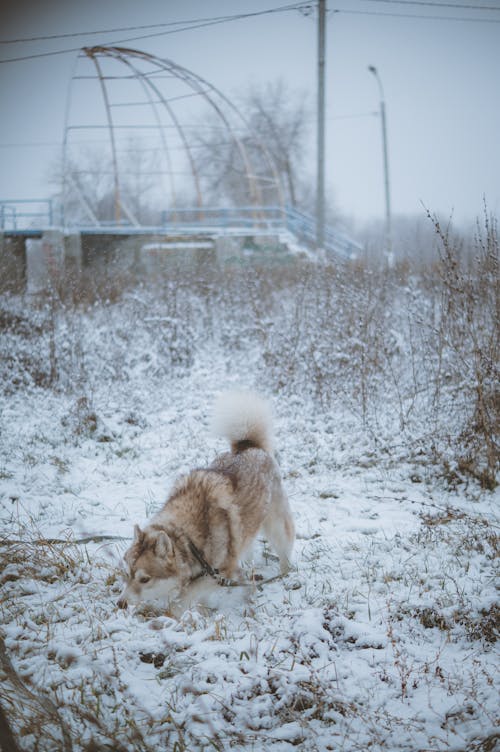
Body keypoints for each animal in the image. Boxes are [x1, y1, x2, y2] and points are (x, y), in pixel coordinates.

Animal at [117, 390, 294, 612]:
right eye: (127, 574)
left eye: (144, 579)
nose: (120, 603)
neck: (188, 538)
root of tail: (248, 446)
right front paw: (204, 611)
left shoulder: (220, 573)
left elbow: (186, 596)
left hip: (277, 529)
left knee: (284, 554)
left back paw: (284, 577)